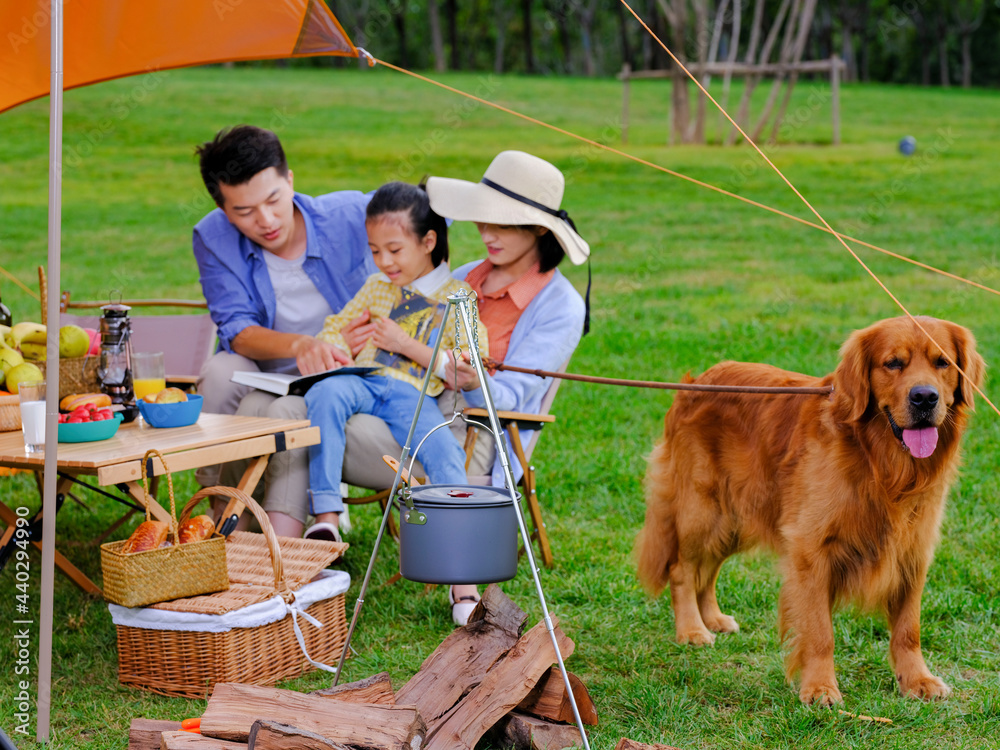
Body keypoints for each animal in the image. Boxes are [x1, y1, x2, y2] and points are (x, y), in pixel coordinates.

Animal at [636, 314, 980, 708]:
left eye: (943, 363)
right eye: (893, 363)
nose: (924, 397)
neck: (878, 463)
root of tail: (694, 383)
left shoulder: (912, 551)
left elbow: (909, 629)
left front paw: (917, 680)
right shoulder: (811, 549)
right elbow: (819, 631)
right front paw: (819, 687)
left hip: (733, 521)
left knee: (706, 572)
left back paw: (713, 619)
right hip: (703, 512)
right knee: (683, 569)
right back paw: (692, 628)